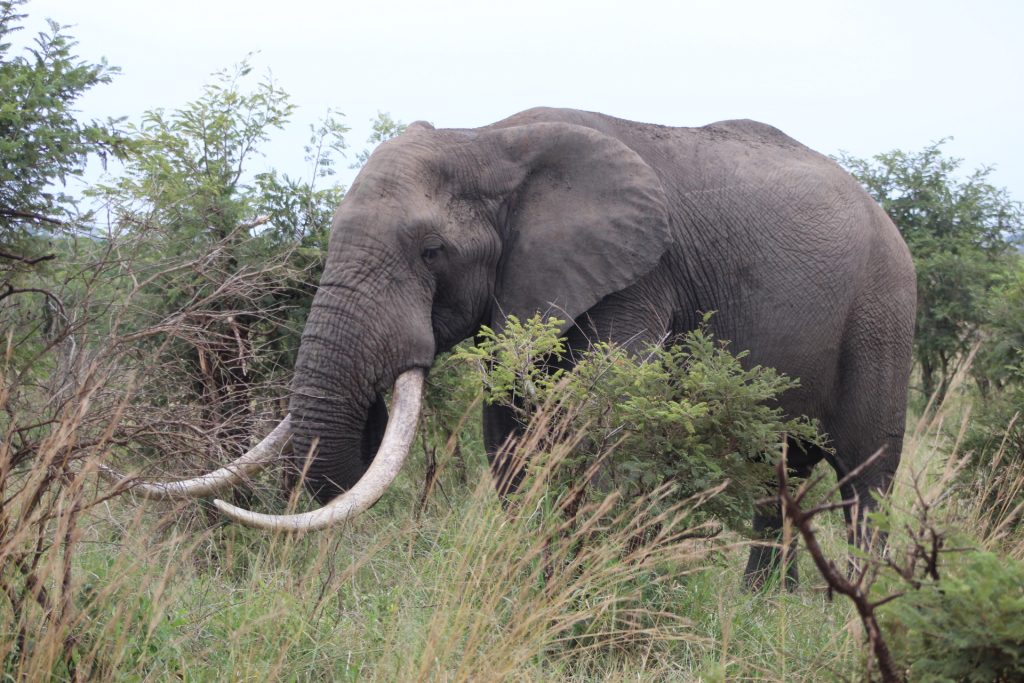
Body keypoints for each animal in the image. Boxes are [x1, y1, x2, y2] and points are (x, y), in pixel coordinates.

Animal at [108, 107, 917, 589]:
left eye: (432, 251)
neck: (491, 139)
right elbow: (510, 439)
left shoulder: (638, 277)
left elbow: (594, 424)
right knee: (774, 482)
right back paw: (760, 603)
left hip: (884, 315)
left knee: (866, 484)